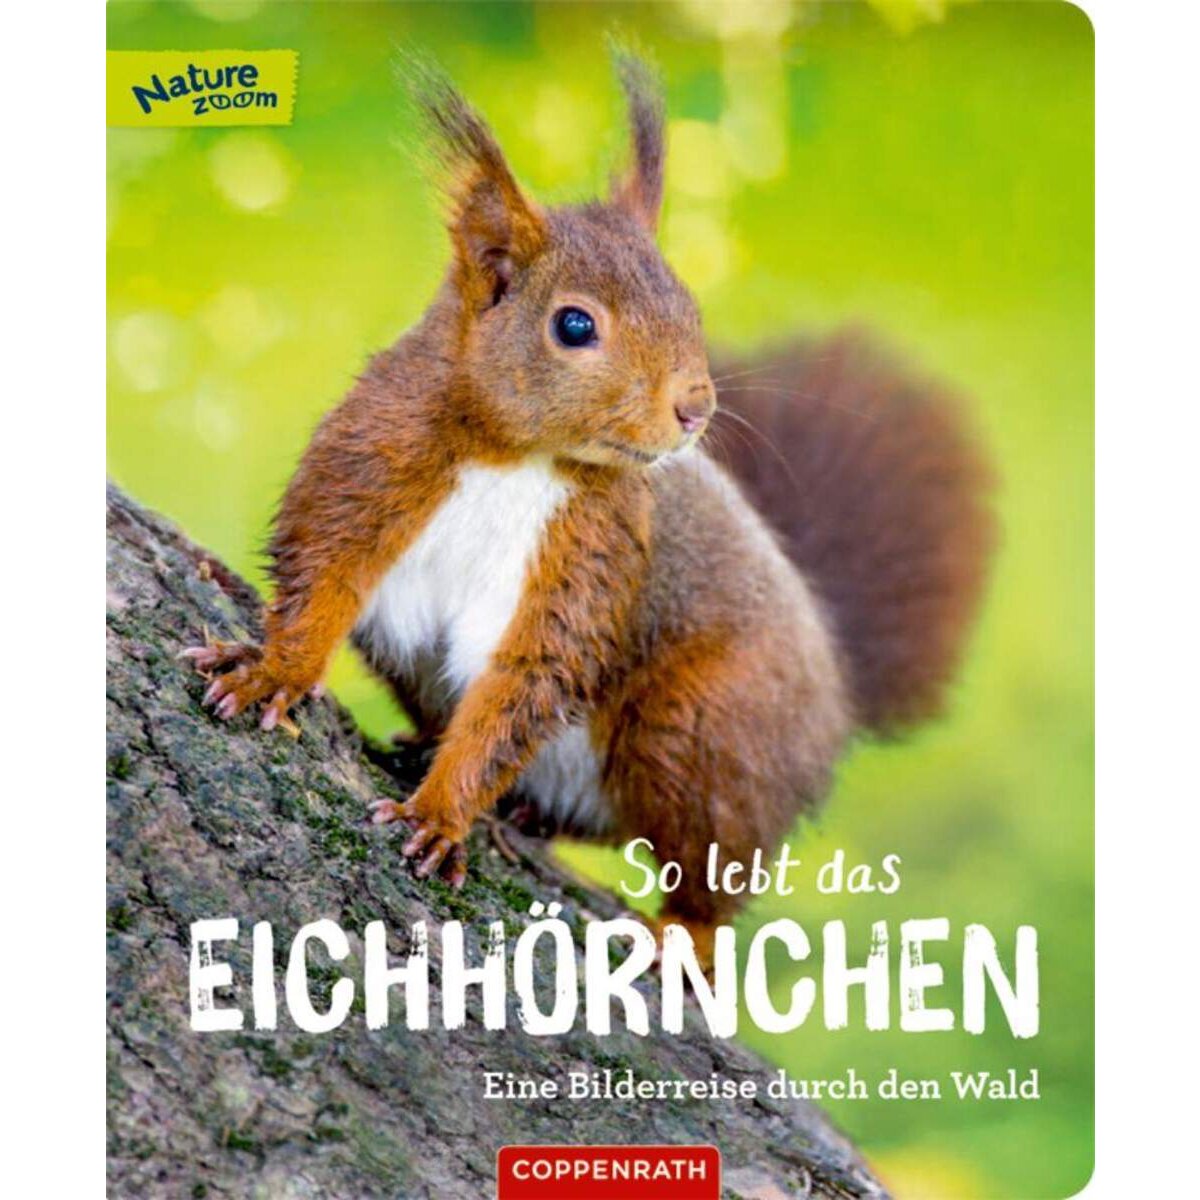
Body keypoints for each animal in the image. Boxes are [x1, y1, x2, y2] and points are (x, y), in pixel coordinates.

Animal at [184, 54, 994, 954]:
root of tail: (837, 690)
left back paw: (683, 933)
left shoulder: (592, 553)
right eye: (574, 325)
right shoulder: (371, 462)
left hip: (704, 725)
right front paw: (272, 673)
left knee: (710, 863)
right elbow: (322, 576)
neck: (514, 456)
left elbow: (526, 682)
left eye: (690, 308)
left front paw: (440, 816)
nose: (696, 407)